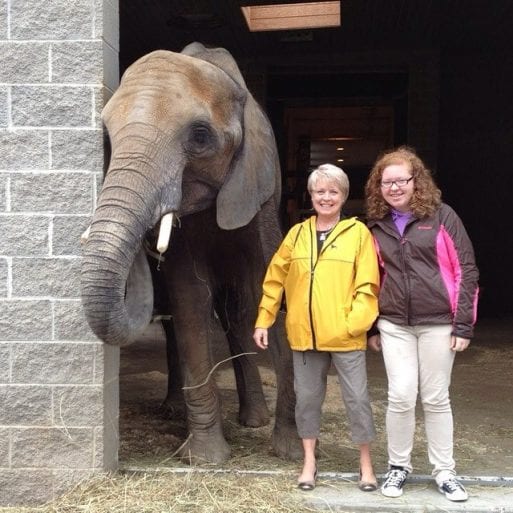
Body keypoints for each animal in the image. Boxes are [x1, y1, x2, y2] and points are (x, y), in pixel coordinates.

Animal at [80, 42, 300, 462]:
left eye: (199, 136)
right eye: (108, 138)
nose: (148, 242)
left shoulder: (259, 195)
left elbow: (266, 291)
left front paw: (289, 452)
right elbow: (190, 299)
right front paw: (206, 458)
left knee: (234, 311)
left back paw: (254, 420)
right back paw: (174, 411)